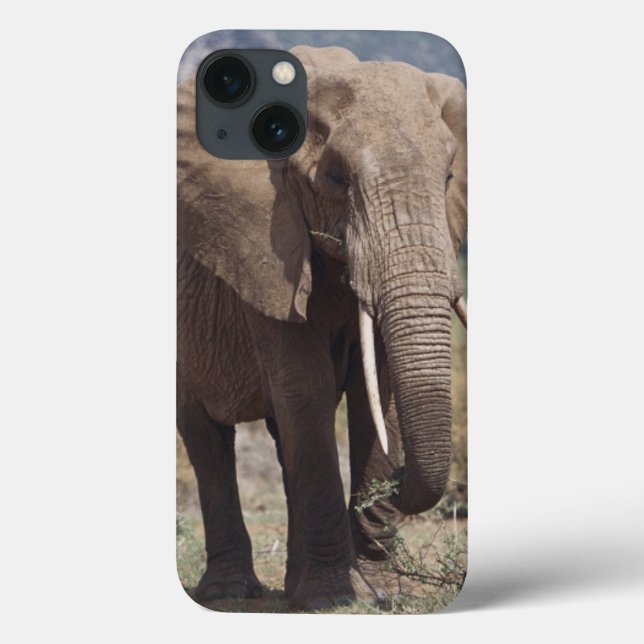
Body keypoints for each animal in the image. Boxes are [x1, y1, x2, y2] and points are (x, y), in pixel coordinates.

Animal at [177, 45, 467, 610]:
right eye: (335, 179)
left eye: (446, 178)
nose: (398, 480)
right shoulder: (263, 247)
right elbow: (305, 388)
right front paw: (336, 600)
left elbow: (380, 396)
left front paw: (381, 592)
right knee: (206, 437)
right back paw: (232, 591)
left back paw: (292, 589)